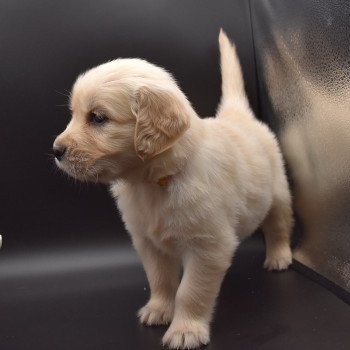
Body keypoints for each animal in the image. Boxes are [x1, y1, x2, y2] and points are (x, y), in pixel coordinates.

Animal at [52, 30, 292, 350]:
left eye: (98, 118)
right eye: (75, 115)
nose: (56, 150)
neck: (155, 182)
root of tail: (237, 115)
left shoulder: (209, 247)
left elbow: (191, 291)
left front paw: (185, 330)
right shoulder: (148, 244)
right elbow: (160, 279)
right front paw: (158, 309)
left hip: (278, 192)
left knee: (279, 225)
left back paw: (279, 256)